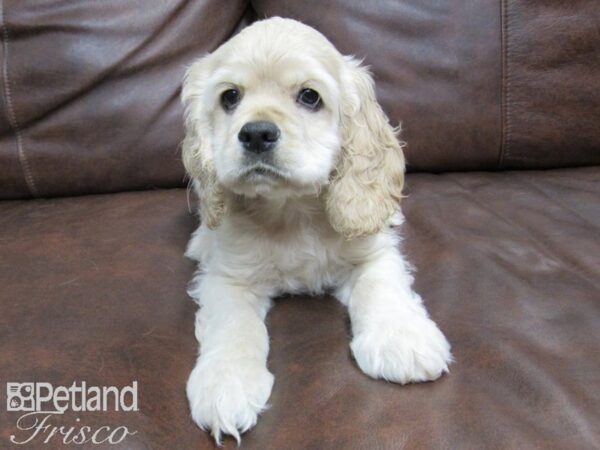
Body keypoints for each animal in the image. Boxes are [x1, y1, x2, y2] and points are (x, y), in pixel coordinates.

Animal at [182, 16, 450, 442]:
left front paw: (402, 340)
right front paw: (226, 384)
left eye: (310, 97)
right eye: (230, 97)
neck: (292, 210)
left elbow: (381, 287)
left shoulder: (373, 255)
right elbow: (234, 325)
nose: (256, 133)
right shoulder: (228, 278)